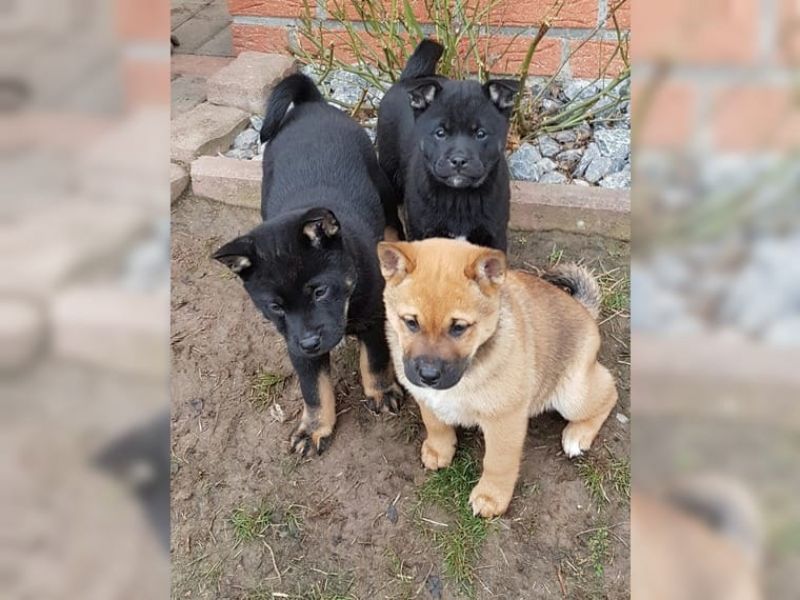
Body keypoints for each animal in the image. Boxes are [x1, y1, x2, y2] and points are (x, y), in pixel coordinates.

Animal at [213, 73, 403, 457]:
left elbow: (375, 360)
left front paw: (381, 392)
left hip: (383, 187)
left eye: (319, 291)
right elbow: (314, 389)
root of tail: (311, 104)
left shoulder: (374, 318)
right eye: (275, 307)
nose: (313, 343)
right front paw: (314, 428)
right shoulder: (293, 343)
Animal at [376, 39, 519, 251]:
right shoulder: (422, 231)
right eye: (440, 133)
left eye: (481, 134)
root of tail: (409, 78)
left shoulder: (495, 234)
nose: (458, 161)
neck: (459, 197)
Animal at [378, 238, 618, 517]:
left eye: (458, 327)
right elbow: (435, 423)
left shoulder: (504, 419)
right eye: (411, 322)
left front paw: (491, 497)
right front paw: (439, 449)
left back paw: (578, 435)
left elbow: (498, 462)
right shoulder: (425, 397)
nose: (428, 376)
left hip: (572, 395)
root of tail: (584, 310)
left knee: (609, 390)